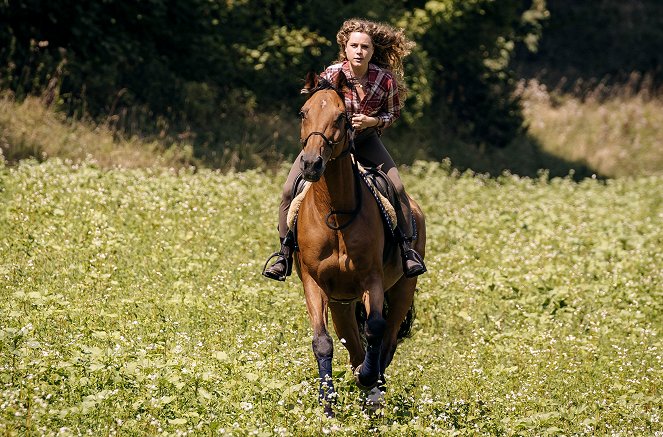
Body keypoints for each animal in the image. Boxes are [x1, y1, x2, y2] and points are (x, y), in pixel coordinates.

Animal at [294, 72, 428, 416]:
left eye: (341, 116)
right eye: (303, 113)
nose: (311, 164)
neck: (335, 213)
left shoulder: (372, 279)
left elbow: (376, 327)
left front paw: (368, 380)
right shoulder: (314, 283)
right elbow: (322, 341)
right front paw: (327, 406)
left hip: (403, 289)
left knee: (387, 339)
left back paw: (373, 386)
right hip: (341, 303)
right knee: (353, 346)